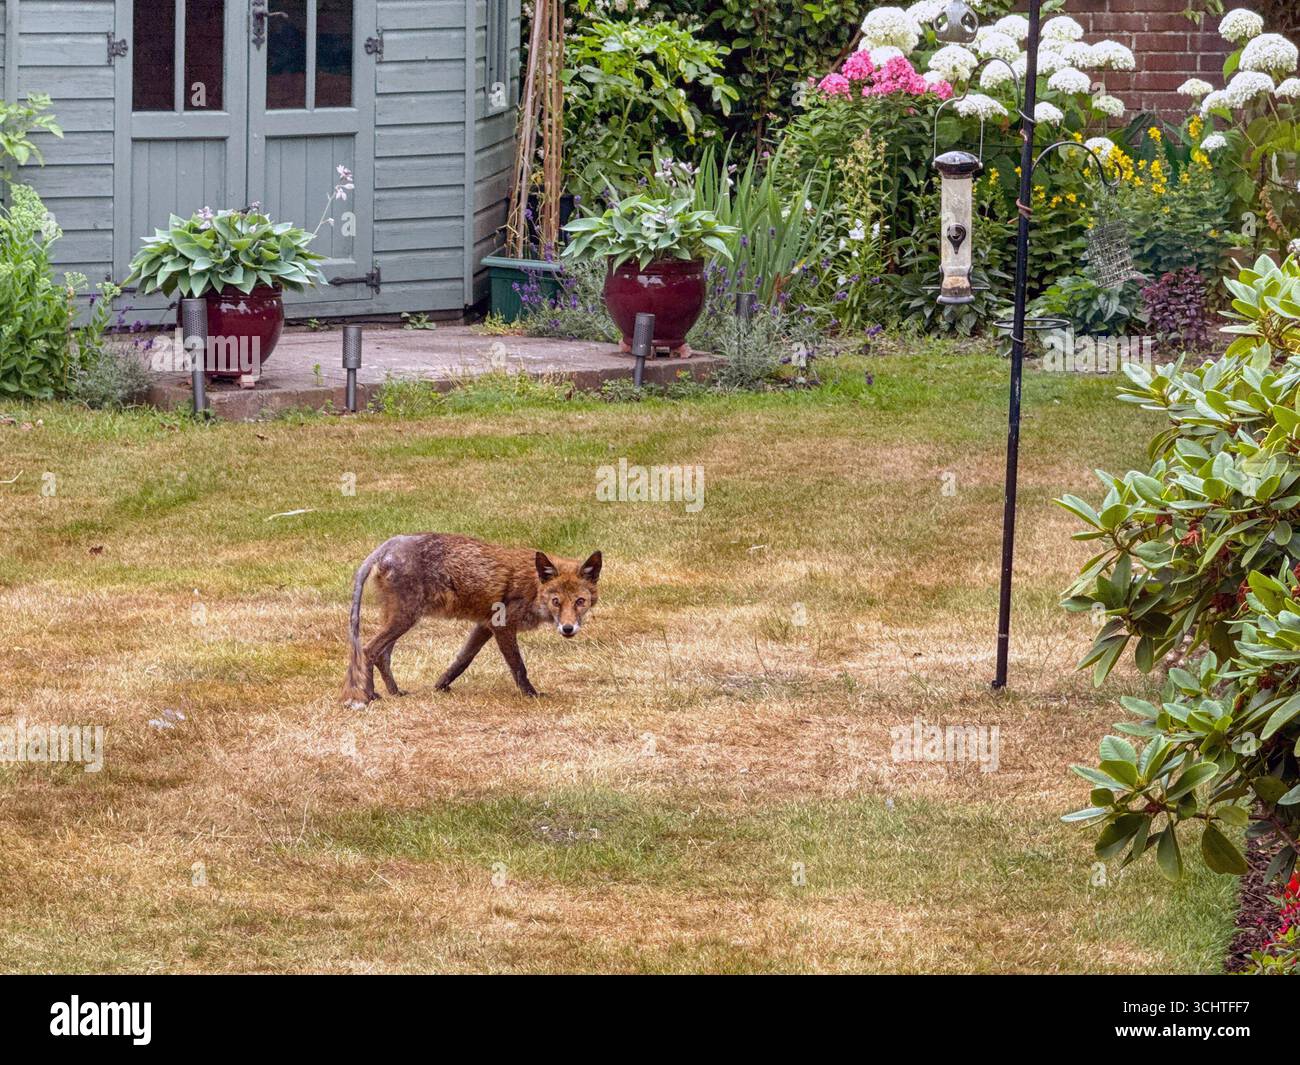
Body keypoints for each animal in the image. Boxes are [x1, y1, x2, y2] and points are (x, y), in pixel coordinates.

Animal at [339, 533, 602, 708]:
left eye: (580, 601)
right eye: (556, 601)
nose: (568, 628)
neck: (534, 589)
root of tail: (390, 543)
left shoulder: (484, 626)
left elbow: (462, 660)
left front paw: (441, 685)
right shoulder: (501, 625)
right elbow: (518, 667)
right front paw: (531, 695)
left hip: (400, 618)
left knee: (383, 655)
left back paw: (395, 693)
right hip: (404, 618)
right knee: (368, 650)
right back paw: (370, 696)